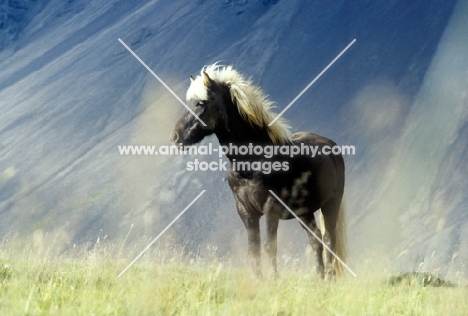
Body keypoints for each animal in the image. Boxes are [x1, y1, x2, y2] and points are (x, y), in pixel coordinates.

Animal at [170, 64, 346, 278]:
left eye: (201, 102)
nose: (176, 137)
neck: (252, 163)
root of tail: (331, 145)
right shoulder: (245, 211)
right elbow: (253, 249)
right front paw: (259, 280)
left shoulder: (271, 207)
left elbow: (270, 246)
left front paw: (274, 280)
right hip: (304, 212)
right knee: (316, 241)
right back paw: (320, 279)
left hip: (331, 204)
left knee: (329, 239)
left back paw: (330, 278)